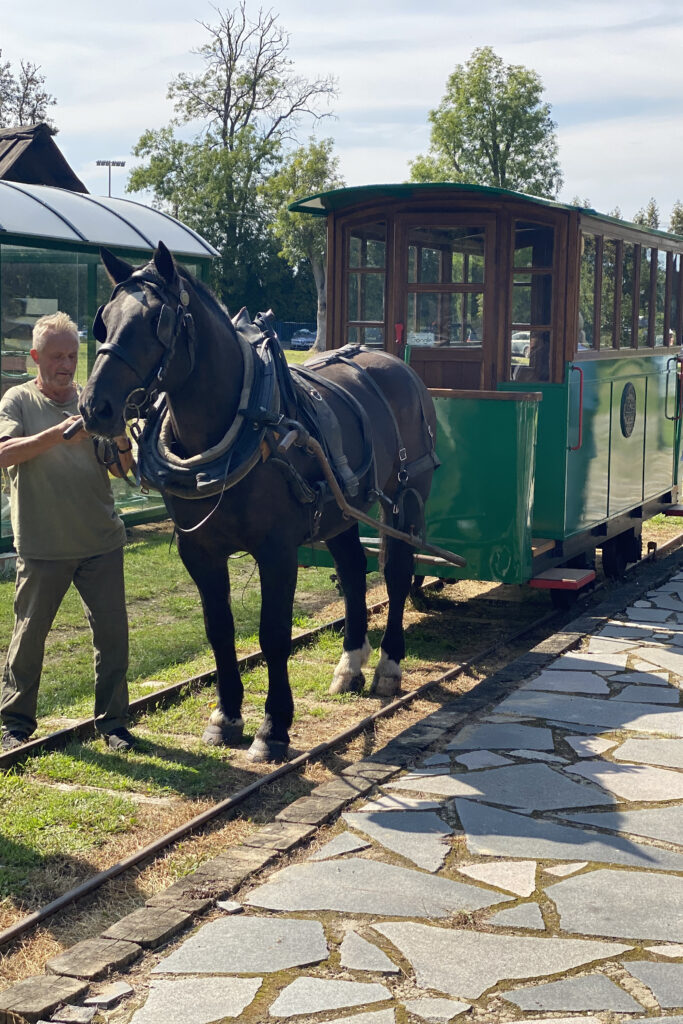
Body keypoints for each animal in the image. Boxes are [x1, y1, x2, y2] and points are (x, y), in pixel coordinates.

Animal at [80, 243, 440, 765]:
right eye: (103, 322)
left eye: (156, 321)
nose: (94, 407)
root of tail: (396, 362)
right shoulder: (199, 552)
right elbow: (219, 630)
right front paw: (226, 717)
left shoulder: (277, 551)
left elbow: (273, 635)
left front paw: (273, 728)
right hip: (339, 510)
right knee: (354, 571)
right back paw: (350, 663)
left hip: (408, 496)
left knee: (396, 572)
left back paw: (388, 666)